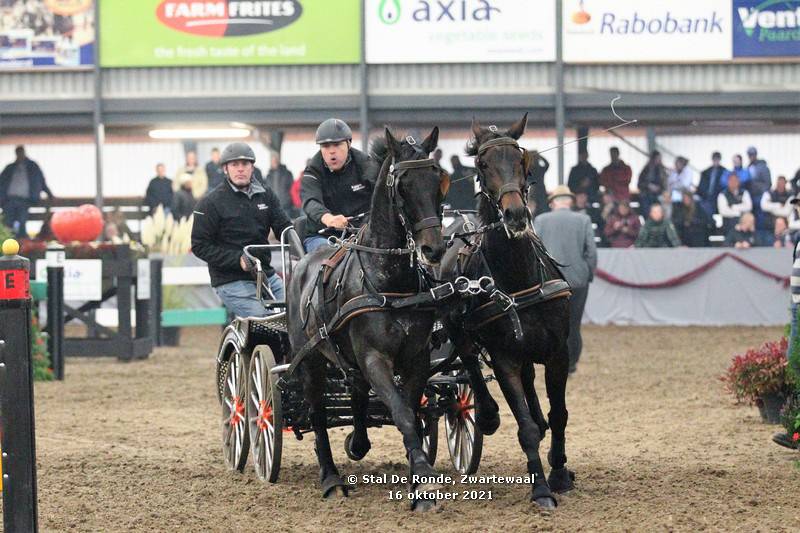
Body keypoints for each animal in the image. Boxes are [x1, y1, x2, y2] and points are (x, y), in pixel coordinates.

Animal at [286, 127, 451, 510]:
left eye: (437, 178)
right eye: (402, 185)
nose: (433, 248)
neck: (389, 280)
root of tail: (302, 264)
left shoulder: (417, 358)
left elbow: (409, 410)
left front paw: (417, 474)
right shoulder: (375, 357)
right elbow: (402, 413)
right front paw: (424, 482)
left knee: (358, 394)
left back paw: (357, 443)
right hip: (310, 360)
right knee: (317, 413)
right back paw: (331, 478)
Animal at [439, 114, 575, 509]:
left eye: (521, 159)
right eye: (482, 165)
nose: (514, 214)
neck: (518, 277)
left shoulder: (558, 351)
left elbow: (559, 414)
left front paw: (560, 471)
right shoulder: (503, 359)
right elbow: (524, 428)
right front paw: (541, 488)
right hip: (456, 326)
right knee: (468, 360)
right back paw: (485, 415)